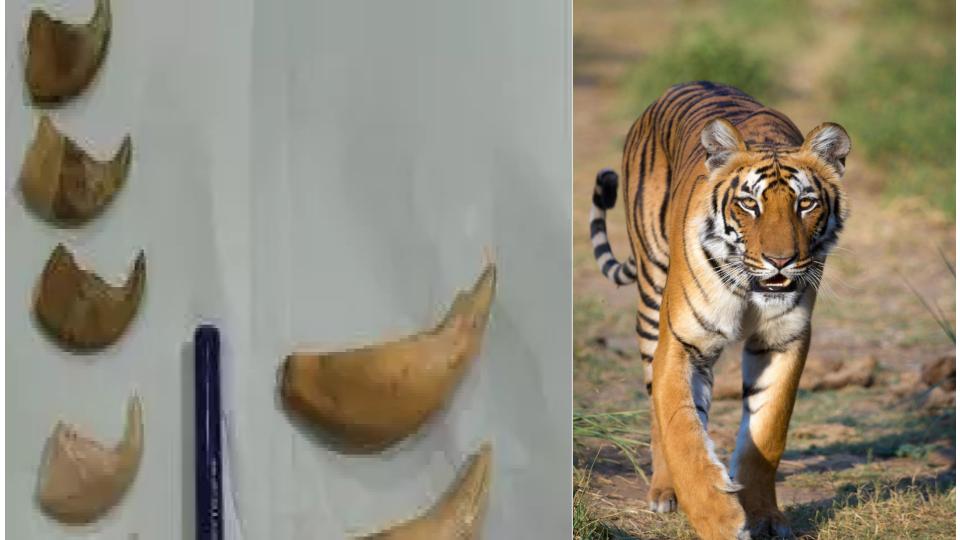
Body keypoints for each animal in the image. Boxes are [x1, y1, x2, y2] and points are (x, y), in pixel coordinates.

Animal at [589, 81, 850, 539]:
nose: (780, 261)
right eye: (749, 204)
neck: (751, 290)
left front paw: (764, 516)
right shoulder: (681, 343)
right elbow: (682, 432)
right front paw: (720, 519)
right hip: (651, 300)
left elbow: (767, 433)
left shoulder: (783, 341)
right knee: (657, 407)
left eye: (805, 204)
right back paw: (664, 491)